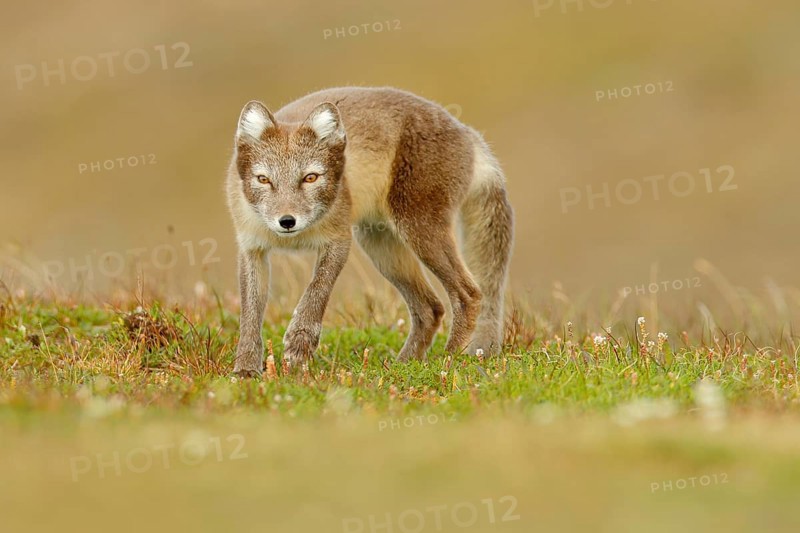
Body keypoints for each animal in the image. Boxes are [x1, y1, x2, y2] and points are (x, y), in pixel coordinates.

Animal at [226, 87, 513, 377]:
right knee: (431, 308)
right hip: (382, 248)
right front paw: (246, 369)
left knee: (469, 294)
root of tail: (467, 132)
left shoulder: (339, 240)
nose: (287, 221)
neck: (296, 239)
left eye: (310, 178)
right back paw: (403, 365)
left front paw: (299, 345)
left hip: (418, 229)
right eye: (264, 180)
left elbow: (316, 293)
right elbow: (250, 317)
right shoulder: (251, 249)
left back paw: (448, 359)